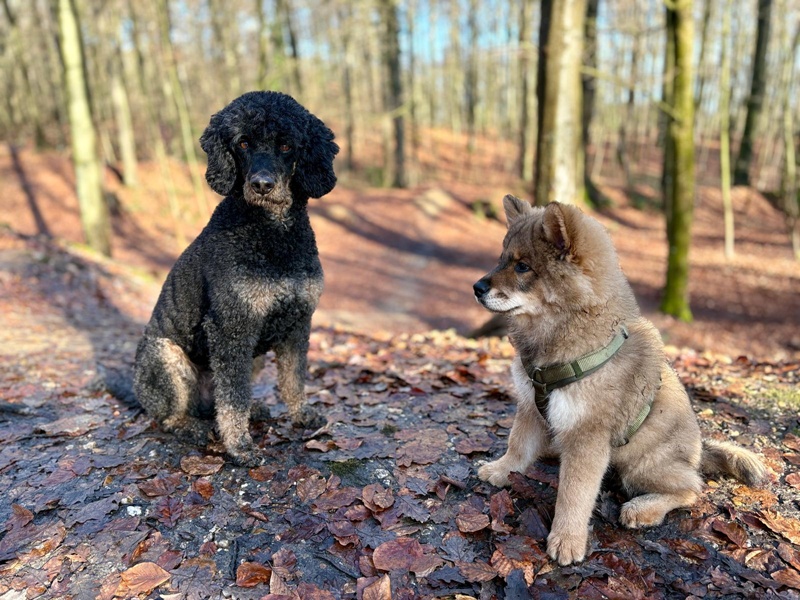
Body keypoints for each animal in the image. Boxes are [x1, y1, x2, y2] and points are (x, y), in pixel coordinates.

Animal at [133, 91, 337, 466]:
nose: (261, 185)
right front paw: (239, 445)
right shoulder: (231, 326)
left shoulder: (298, 322)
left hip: (252, 356)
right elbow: (233, 398)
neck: (272, 233)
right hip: (166, 357)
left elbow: (293, 379)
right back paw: (194, 427)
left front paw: (301, 415)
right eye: (242, 143)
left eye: (286, 145)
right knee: (171, 416)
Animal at [473, 196, 766, 565]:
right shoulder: (530, 405)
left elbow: (574, 494)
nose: (477, 287)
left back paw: (643, 508)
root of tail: (700, 451)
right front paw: (501, 470)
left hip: (641, 465)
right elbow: (517, 445)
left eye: (523, 266)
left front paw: (567, 539)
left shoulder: (587, 435)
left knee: (691, 488)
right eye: (502, 259)